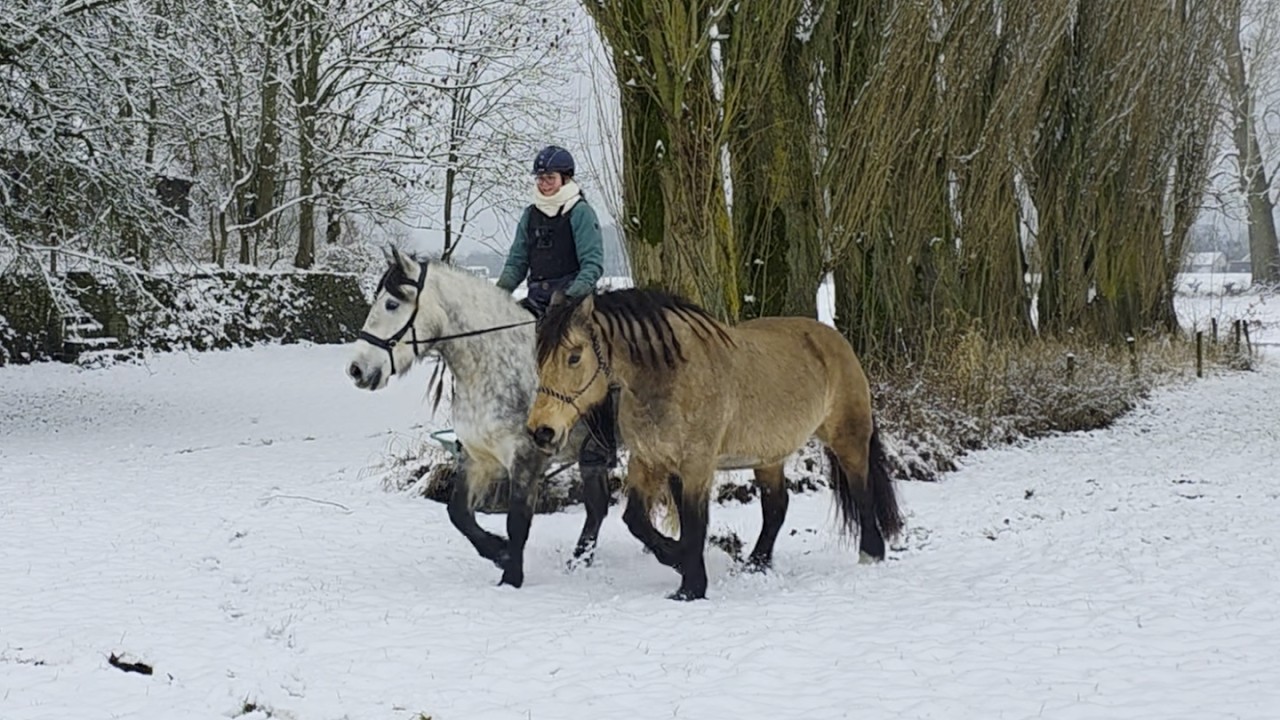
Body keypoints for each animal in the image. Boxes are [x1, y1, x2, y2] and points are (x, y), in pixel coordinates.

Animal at [346, 248, 608, 589]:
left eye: (391, 304)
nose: (356, 369)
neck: (495, 366)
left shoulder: (526, 458)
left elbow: (516, 521)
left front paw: (511, 576)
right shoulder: (476, 457)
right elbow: (458, 513)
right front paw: (499, 552)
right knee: (598, 508)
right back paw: (579, 561)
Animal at [524, 287, 904, 601]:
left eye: (574, 356)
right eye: (538, 358)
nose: (541, 431)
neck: (669, 377)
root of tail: (835, 340)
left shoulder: (697, 465)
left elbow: (694, 523)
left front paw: (691, 587)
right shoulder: (649, 461)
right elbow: (636, 520)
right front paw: (679, 562)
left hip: (847, 439)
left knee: (862, 492)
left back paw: (871, 554)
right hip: (768, 457)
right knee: (776, 507)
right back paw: (756, 564)